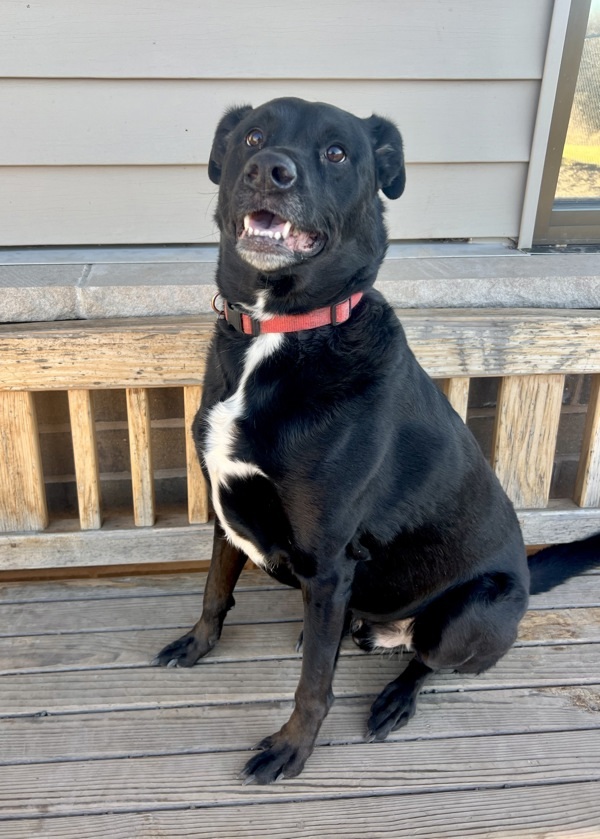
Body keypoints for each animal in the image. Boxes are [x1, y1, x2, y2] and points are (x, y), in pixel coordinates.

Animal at [155, 100, 600, 788]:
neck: (280, 332)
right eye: (252, 137)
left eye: (337, 153)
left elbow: (313, 685)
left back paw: (394, 696)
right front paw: (197, 644)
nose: (267, 170)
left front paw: (293, 747)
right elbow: (213, 593)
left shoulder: (330, 559)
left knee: (427, 660)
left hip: (465, 615)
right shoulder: (225, 509)